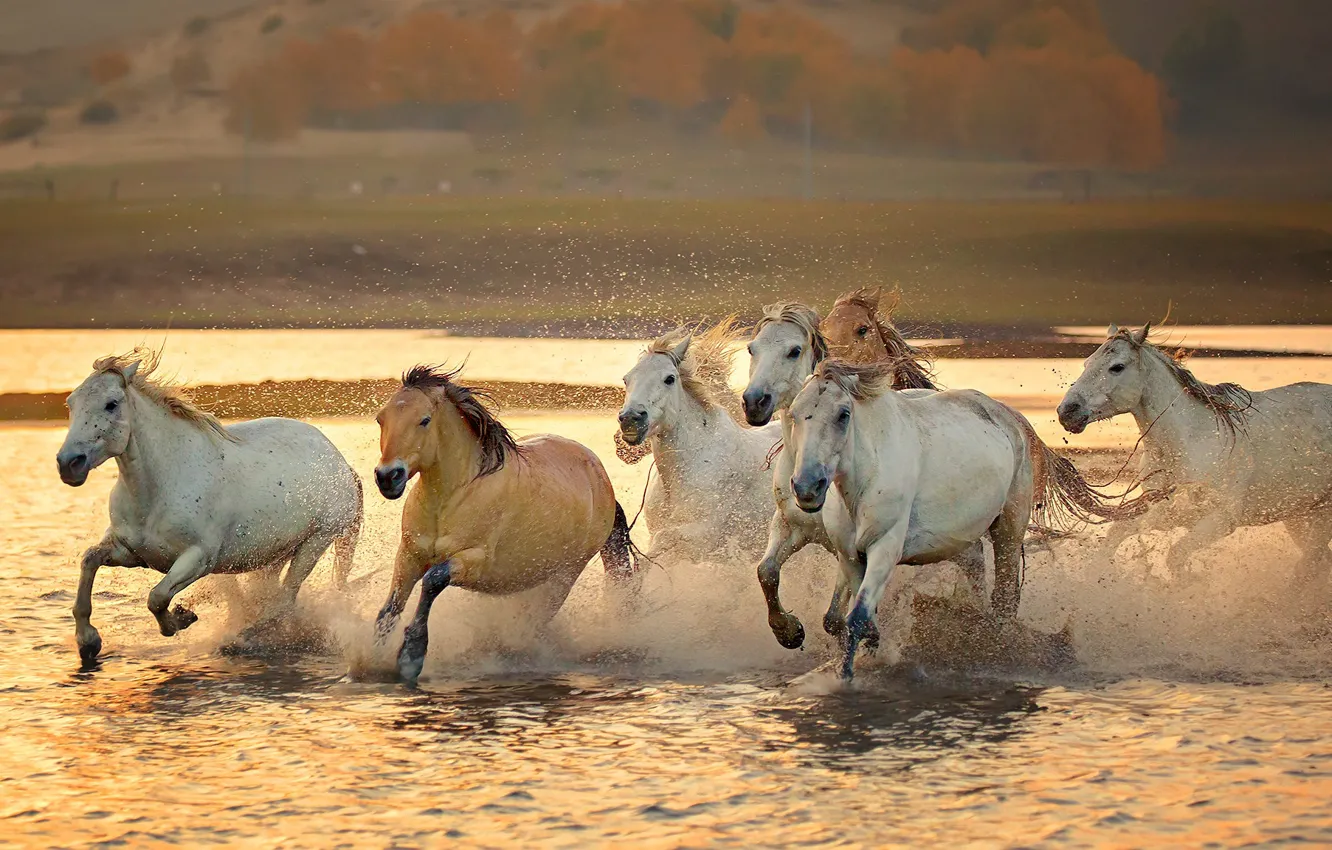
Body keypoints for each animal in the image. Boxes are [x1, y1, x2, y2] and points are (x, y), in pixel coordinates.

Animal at [56, 348, 363, 664]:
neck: (157, 490)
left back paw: (241, 639)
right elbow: (89, 560)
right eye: (71, 403)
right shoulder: (132, 552)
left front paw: (182, 618)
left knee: (284, 600)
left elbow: (157, 597)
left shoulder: (198, 559)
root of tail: (341, 464)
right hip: (276, 554)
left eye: (111, 404)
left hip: (317, 541)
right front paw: (88, 642)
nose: (69, 463)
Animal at [373, 364, 637, 684]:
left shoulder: (475, 560)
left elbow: (433, 580)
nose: (388, 477)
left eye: (424, 420)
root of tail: (601, 478)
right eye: (381, 419)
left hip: (563, 575)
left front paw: (410, 657)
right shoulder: (410, 555)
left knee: (531, 624)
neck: (451, 499)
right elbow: (390, 608)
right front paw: (368, 661)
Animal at [787, 359, 1056, 681]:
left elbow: (857, 618)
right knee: (977, 571)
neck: (865, 480)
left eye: (843, 414)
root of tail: (1014, 419)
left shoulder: (885, 548)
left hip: (1009, 531)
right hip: (963, 541)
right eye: (794, 414)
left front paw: (846, 676)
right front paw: (871, 647)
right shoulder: (850, 556)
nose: (807, 488)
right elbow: (847, 619)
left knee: (1004, 596)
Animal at [1058, 323, 1332, 581]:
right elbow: (1110, 542)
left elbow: (1175, 556)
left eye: (1117, 367)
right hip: (1301, 518)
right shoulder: (1162, 512)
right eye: (1087, 363)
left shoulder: (1220, 520)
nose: (1067, 411)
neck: (1186, 446)